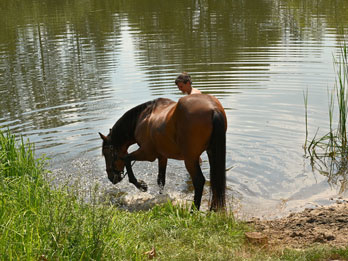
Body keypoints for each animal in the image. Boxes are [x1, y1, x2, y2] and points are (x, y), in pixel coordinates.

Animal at [99, 93, 227, 209]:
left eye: (106, 153)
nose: (111, 177)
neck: (142, 118)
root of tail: (213, 108)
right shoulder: (162, 156)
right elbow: (161, 180)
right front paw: (160, 197)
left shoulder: (148, 154)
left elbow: (127, 159)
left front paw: (141, 186)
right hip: (211, 153)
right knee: (215, 182)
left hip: (190, 159)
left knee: (199, 182)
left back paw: (193, 211)